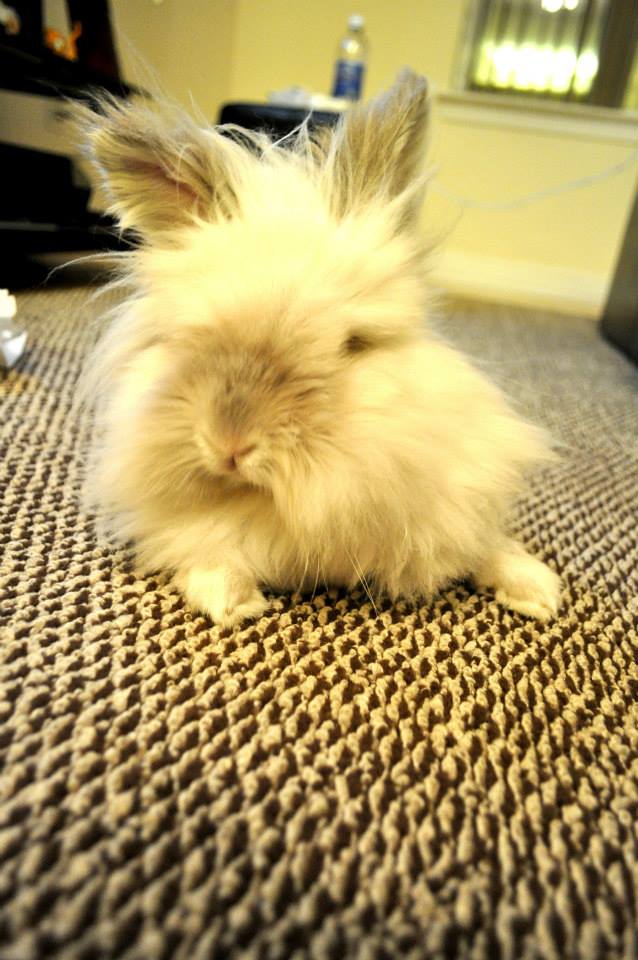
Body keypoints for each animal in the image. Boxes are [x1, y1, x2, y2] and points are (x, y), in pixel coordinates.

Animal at [77, 71, 564, 628]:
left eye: (353, 344)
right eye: (185, 340)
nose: (230, 446)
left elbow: (487, 545)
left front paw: (539, 591)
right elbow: (207, 545)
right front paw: (231, 600)